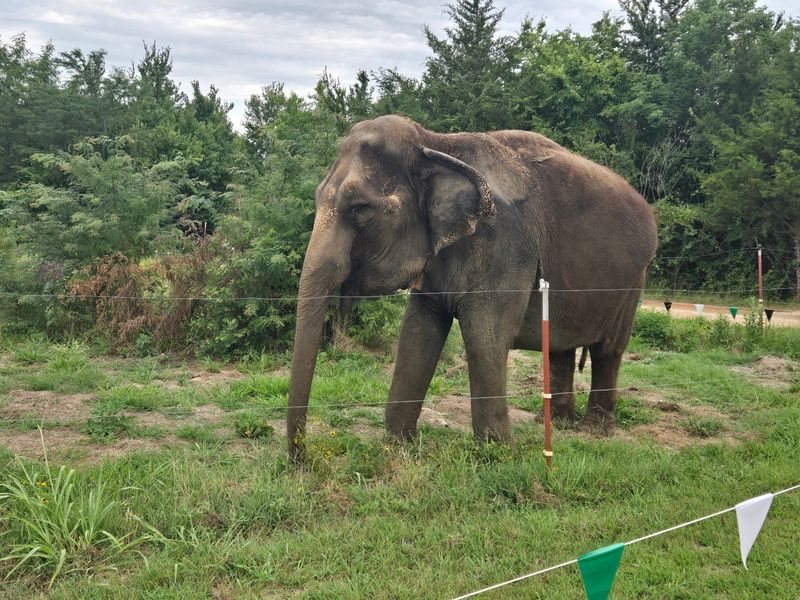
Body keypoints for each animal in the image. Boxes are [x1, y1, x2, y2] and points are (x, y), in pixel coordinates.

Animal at [287, 115, 658, 462]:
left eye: (359, 209)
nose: (302, 460)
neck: (436, 143)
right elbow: (419, 329)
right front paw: (397, 445)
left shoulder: (506, 242)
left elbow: (484, 333)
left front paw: (501, 456)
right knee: (560, 347)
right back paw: (556, 424)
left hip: (633, 281)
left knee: (608, 349)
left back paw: (595, 431)